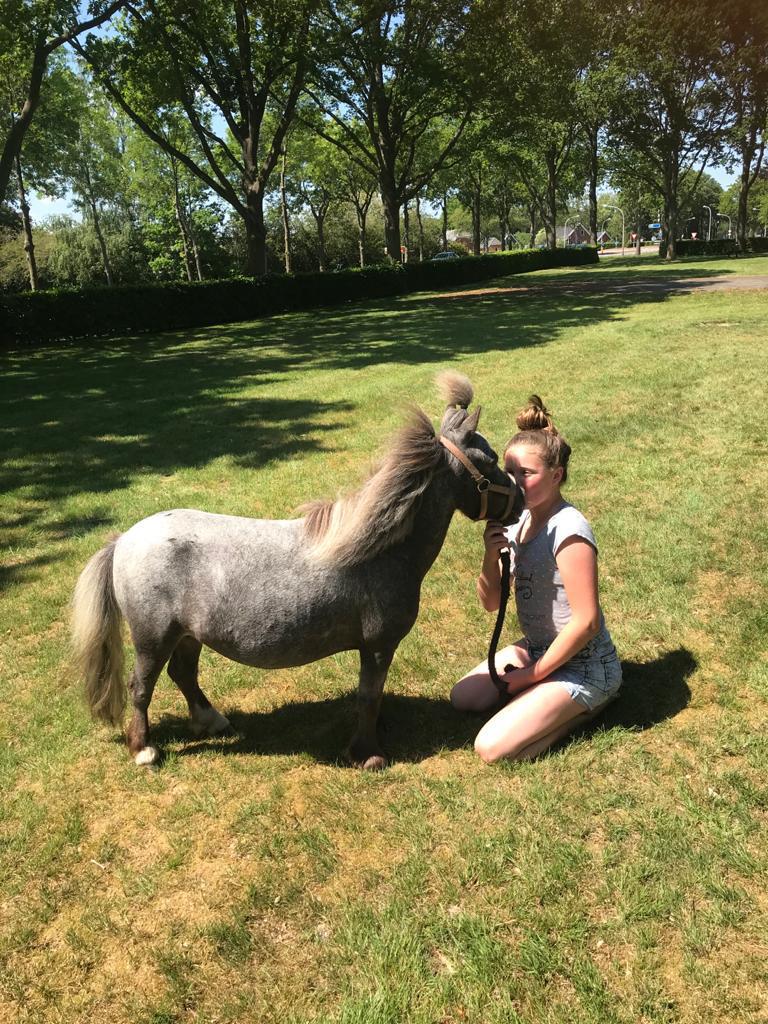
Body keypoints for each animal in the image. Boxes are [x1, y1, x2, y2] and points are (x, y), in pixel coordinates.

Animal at [70, 371, 523, 769]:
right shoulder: (378, 646)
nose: (518, 502)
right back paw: (144, 750)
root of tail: (124, 540)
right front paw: (368, 754)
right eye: (490, 459)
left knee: (183, 674)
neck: (380, 551)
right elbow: (368, 696)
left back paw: (213, 721)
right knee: (142, 686)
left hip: (187, 635)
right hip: (153, 638)